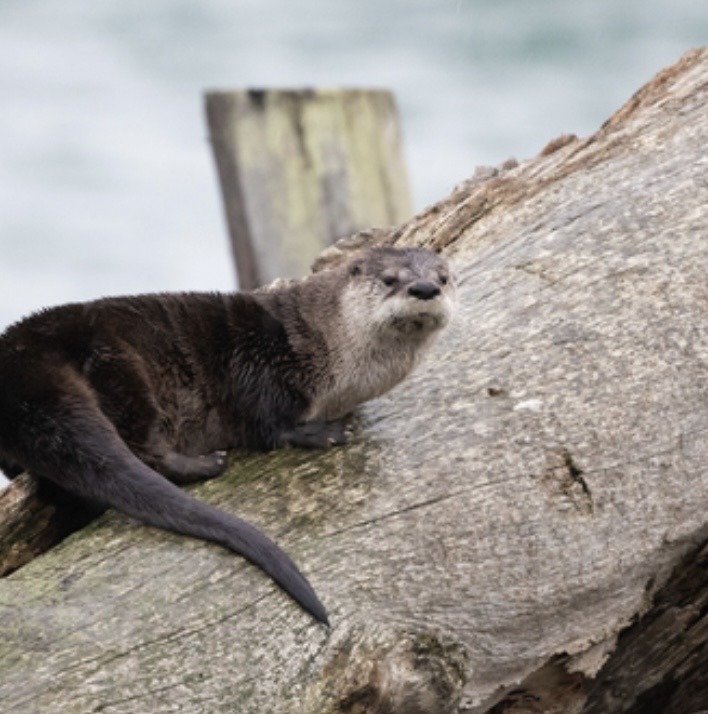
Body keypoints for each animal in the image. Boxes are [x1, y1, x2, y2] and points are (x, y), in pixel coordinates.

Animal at [0, 246, 455, 624]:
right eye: (390, 279)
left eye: (445, 276)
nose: (425, 288)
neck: (329, 353)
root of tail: (19, 353)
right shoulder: (261, 358)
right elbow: (269, 418)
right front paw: (319, 433)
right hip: (116, 362)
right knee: (143, 447)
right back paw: (207, 463)